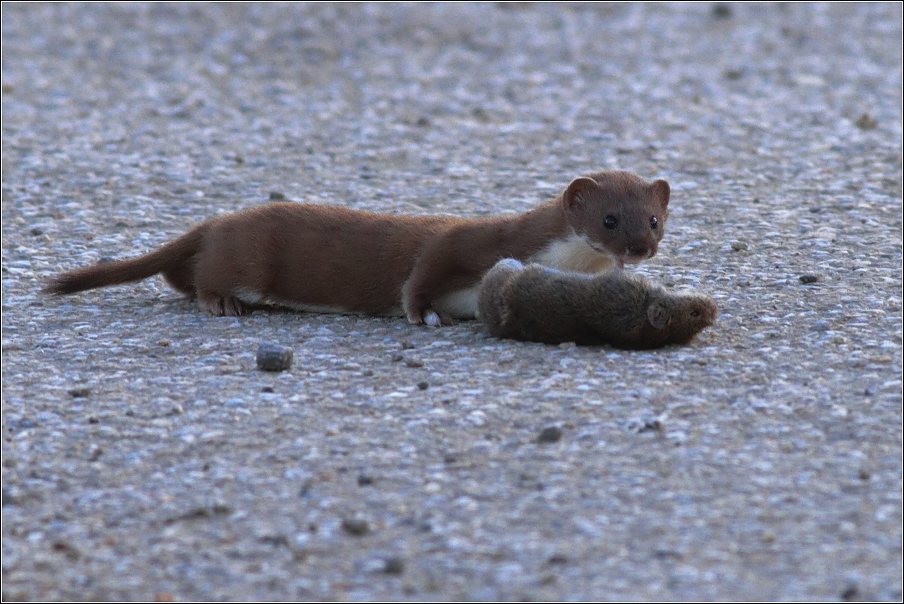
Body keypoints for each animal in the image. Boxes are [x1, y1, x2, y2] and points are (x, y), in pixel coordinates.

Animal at [46, 170, 668, 326]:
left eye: (655, 220)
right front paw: (424, 314)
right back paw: (223, 303)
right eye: (610, 218)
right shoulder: (466, 240)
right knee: (204, 277)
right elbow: (422, 271)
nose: (640, 249)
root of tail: (217, 220)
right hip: (246, 255)